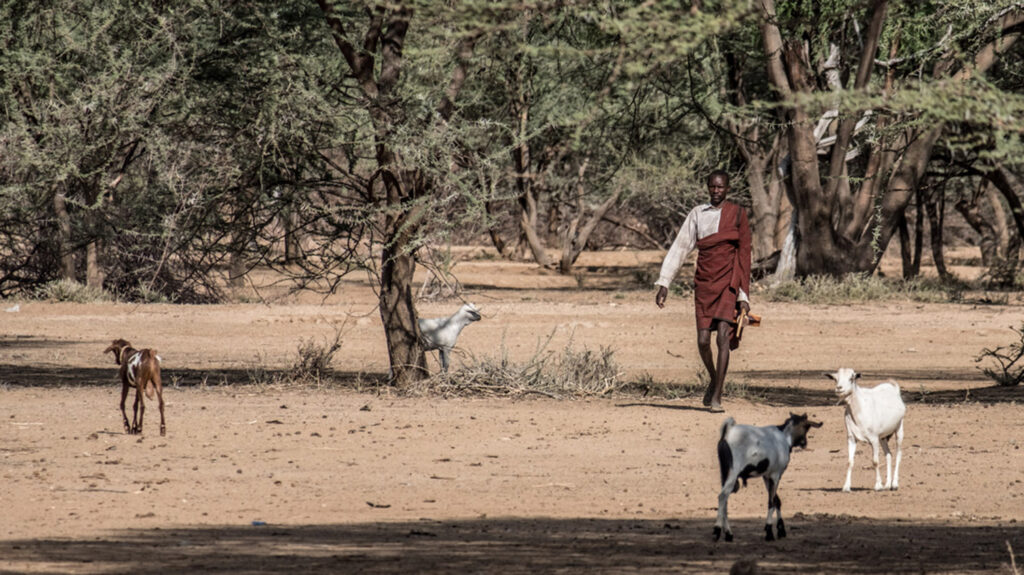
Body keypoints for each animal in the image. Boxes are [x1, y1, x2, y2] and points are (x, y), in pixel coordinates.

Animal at [714, 413, 822, 542]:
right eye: (806, 427)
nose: (804, 443)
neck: (784, 436)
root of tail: (727, 432)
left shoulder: (767, 476)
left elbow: (777, 500)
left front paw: (781, 529)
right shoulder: (776, 475)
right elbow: (771, 502)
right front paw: (770, 532)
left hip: (724, 473)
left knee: (725, 500)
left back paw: (728, 534)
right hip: (733, 472)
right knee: (722, 496)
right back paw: (717, 530)